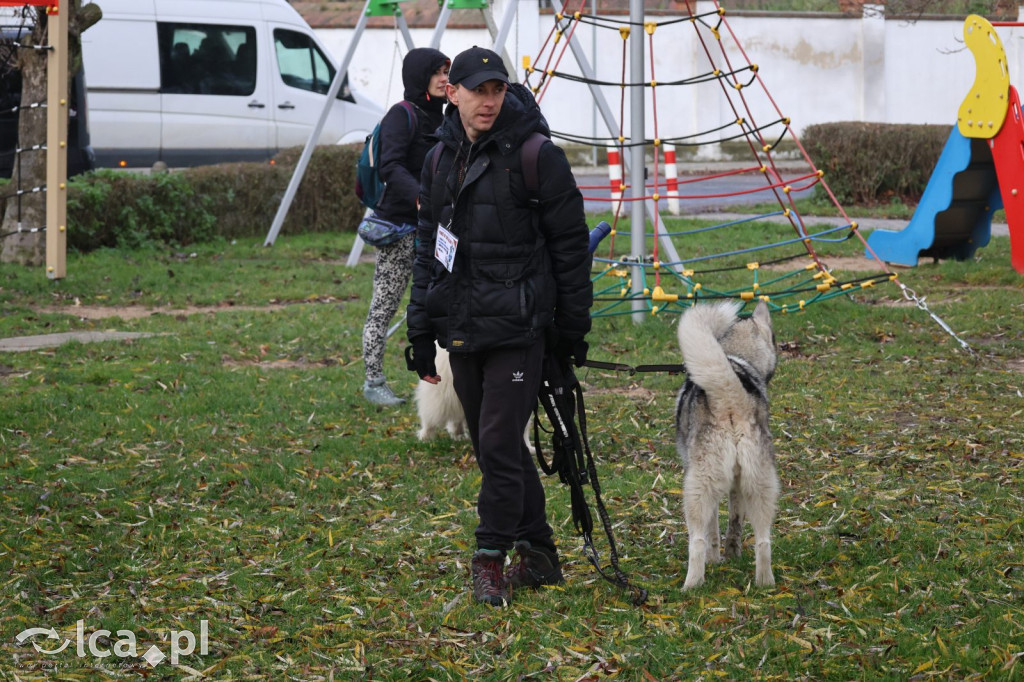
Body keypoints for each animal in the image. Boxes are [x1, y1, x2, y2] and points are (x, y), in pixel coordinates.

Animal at [675, 301, 778, 585]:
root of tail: (730, 396)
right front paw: (732, 555)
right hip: (761, 485)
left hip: (696, 490)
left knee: (697, 540)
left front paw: (715, 559)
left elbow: (712, 531)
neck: (736, 358)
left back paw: (692, 585)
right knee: (763, 541)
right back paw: (765, 583)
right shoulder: (737, 484)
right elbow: (734, 522)